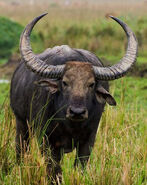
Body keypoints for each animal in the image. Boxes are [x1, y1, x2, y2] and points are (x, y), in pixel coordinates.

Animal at [10, 13, 138, 181]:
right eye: (64, 82)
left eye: (91, 84)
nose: (77, 112)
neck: (70, 125)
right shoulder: (46, 139)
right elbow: (54, 169)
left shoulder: (88, 139)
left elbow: (80, 166)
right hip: (21, 123)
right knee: (21, 150)